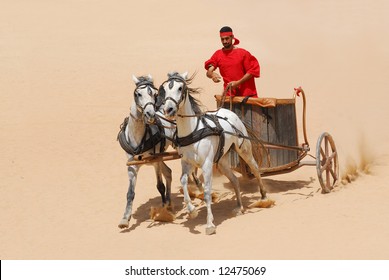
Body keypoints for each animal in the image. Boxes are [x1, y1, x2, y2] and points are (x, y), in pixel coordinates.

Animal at [116, 74, 174, 230]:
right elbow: (130, 193)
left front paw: (163, 211)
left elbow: (160, 186)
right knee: (168, 172)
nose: (150, 114)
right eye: (138, 94)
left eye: (154, 94)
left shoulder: (155, 161)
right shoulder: (131, 164)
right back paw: (169, 202)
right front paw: (125, 218)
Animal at [159, 71, 268, 234]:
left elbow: (207, 191)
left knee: (255, 169)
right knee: (234, 180)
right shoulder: (186, 162)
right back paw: (239, 207)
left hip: (244, 150)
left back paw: (264, 197)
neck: (193, 131)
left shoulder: (206, 164)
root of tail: (229, 111)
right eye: (165, 89)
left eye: (180, 88)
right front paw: (192, 210)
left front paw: (210, 224)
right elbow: (183, 180)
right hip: (222, 161)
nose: (169, 109)